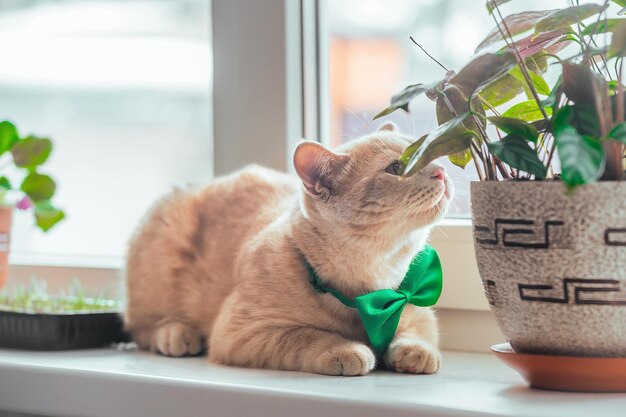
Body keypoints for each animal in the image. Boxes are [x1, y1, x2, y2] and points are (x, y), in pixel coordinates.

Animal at [124, 122, 450, 376]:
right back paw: (176, 334)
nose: (442, 171)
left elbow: (417, 333)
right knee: (140, 327)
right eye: (396, 167)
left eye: (428, 154)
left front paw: (415, 351)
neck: (369, 291)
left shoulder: (420, 311)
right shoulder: (241, 333)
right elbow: (308, 336)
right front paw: (345, 350)